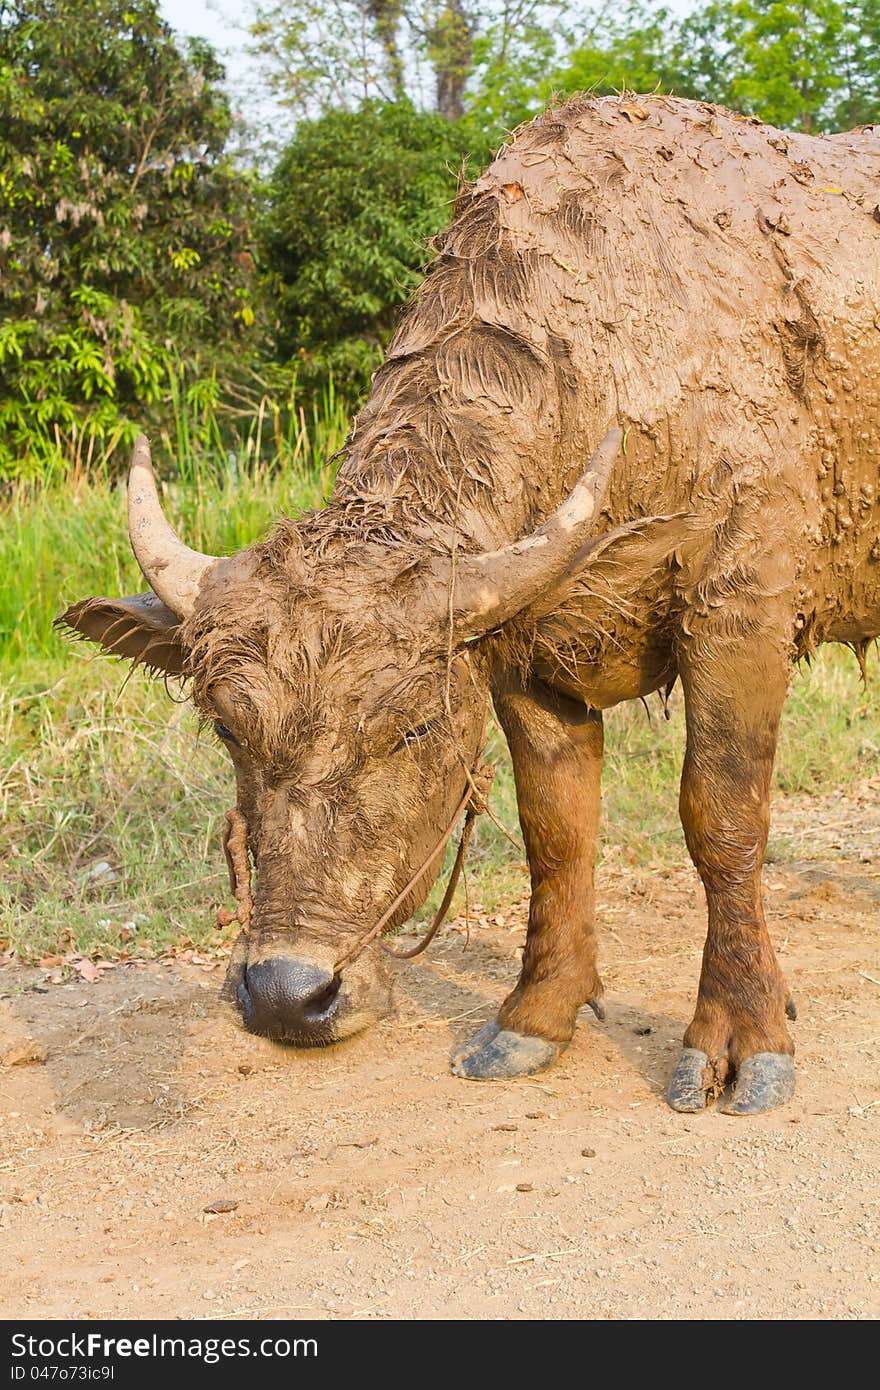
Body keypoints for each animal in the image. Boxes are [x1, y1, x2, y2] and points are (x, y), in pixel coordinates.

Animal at [58, 95, 873, 1117]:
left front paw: (742, 1035)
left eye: (410, 728)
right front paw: (535, 1019)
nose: (286, 994)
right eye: (226, 729)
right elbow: (556, 832)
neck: (615, 351)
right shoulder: (528, 658)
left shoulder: (741, 613)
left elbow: (721, 816)